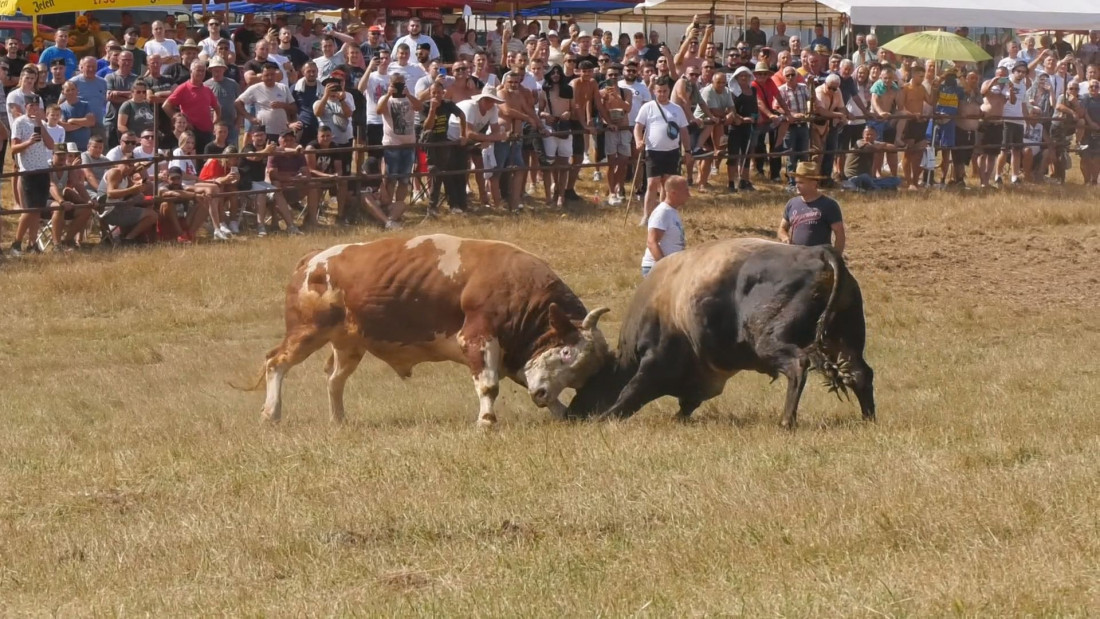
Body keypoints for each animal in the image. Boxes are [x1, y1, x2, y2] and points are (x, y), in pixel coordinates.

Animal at [238, 234, 611, 426]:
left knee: (334, 380)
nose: (543, 395)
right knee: (276, 363)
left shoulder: (513, 352)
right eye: (566, 352)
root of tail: (314, 259)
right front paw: (486, 422)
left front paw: (561, 411)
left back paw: (339, 419)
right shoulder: (477, 338)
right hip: (307, 331)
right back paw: (271, 414)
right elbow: (488, 385)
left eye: (581, 372)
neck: (517, 287)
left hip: (349, 345)